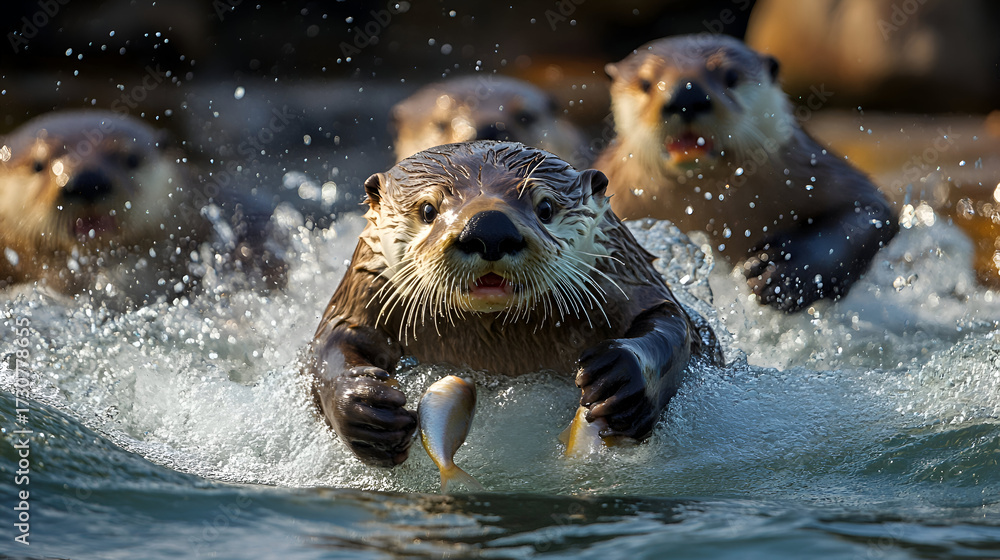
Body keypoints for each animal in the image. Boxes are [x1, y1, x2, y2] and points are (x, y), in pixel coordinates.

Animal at [307, 141, 722, 467]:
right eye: (427, 210)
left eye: (545, 208)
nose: (489, 228)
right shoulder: (366, 284)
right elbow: (333, 342)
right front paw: (365, 407)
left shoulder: (625, 272)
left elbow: (673, 323)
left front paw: (620, 378)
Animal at [595, 35, 898, 312]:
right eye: (645, 83)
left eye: (730, 76)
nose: (687, 95)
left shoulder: (812, 168)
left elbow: (873, 211)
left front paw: (785, 272)